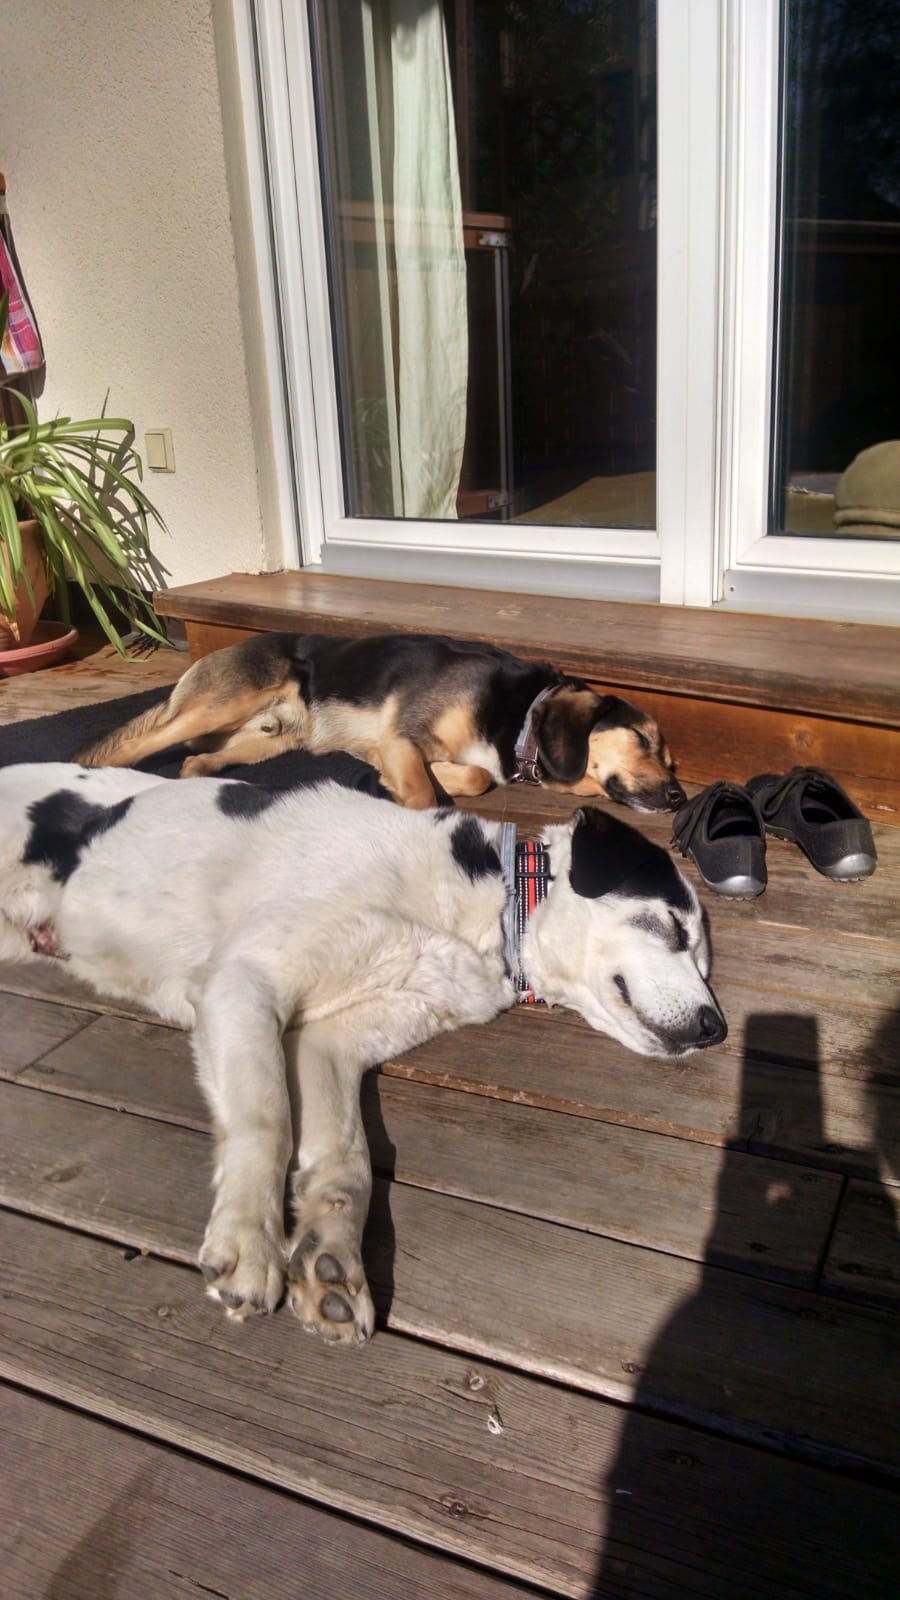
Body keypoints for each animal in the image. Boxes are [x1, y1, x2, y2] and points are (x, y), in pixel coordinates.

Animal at [0, 761, 724, 1344]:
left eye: (702, 958)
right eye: (672, 928)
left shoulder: (328, 1041)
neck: (484, 912)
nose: (716, 1027)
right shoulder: (243, 981)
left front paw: (331, 1258)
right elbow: (267, 1121)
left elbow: (348, 1163)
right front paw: (250, 1244)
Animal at [74, 631, 686, 813]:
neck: (518, 716)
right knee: (138, 743)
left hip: (270, 740)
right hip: (227, 698)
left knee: (196, 760)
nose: (680, 796)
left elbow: (475, 775)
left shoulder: (402, 744)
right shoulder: (403, 738)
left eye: (673, 760)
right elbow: (424, 793)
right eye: (641, 739)